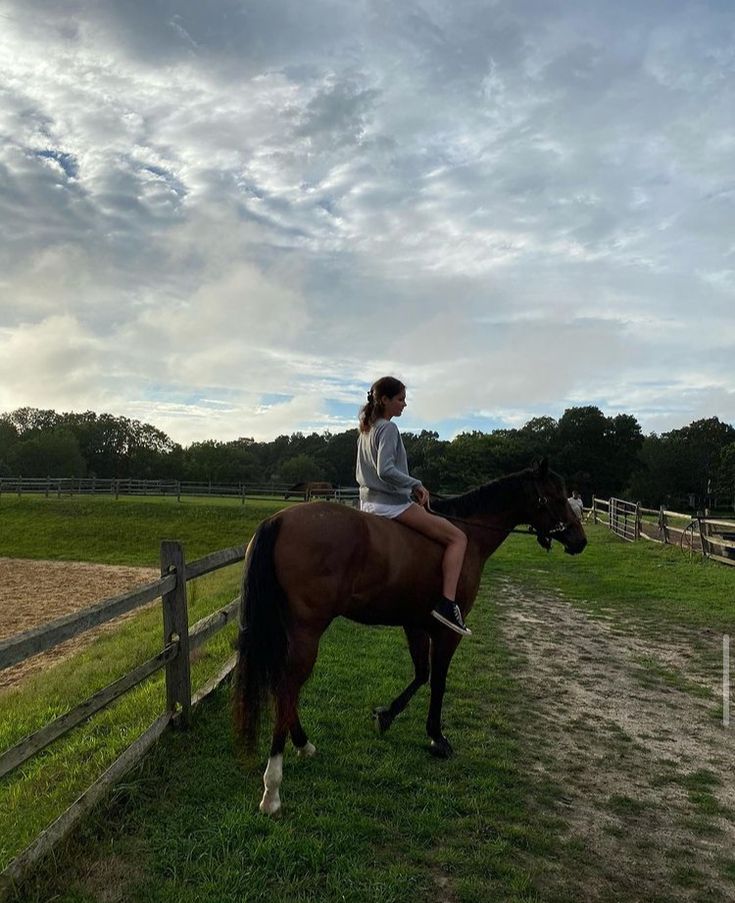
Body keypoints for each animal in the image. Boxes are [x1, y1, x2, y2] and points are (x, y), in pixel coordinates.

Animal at [234, 460, 588, 812]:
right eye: (557, 497)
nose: (580, 540)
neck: (469, 534)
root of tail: (278, 520)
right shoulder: (447, 633)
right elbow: (438, 681)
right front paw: (437, 738)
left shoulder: (415, 625)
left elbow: (421, 674)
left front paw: (386, 716)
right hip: (307, 632)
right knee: (287, 689)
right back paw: (272, 787)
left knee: (284, 688)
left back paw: (303, 745)